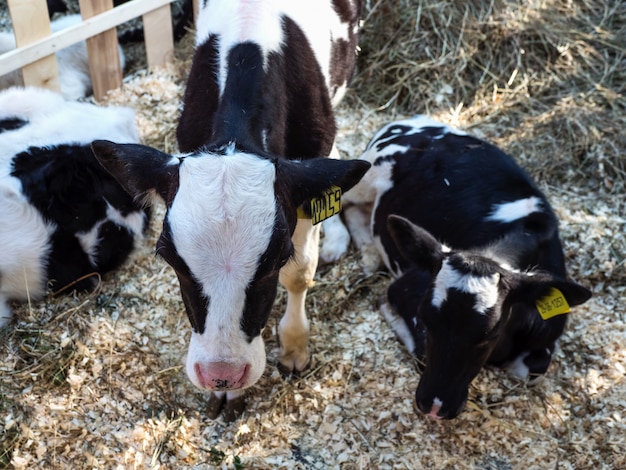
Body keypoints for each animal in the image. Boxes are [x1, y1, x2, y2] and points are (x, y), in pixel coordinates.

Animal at [90, 0, 368, 418]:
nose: (222, 374)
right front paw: (231, 394)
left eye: (275, 260)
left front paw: (294, 345)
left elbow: (300, 272)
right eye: (170, 259)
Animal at [334, 115, 588, 420]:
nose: (434, 407)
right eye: (426, 319)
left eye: (490, 334)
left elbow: (532, 370)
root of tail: (412, 121)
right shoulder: (408, 287)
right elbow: (418, 346)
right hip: (366, 173)